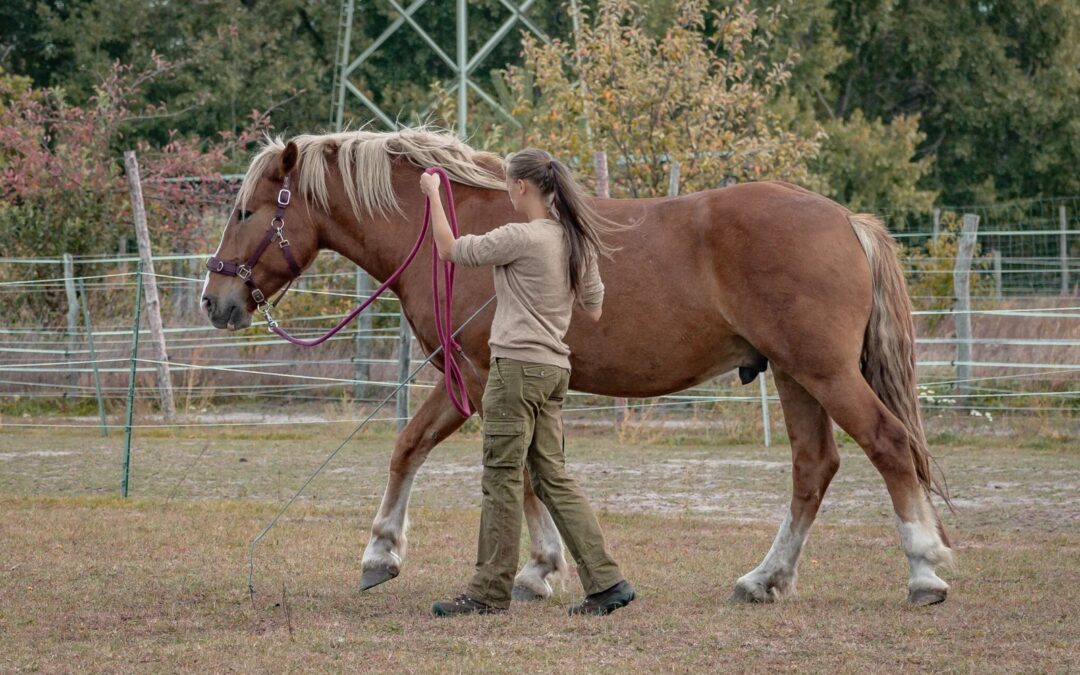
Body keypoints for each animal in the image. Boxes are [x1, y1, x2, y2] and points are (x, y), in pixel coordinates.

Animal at [200, 127, 954, 604]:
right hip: (797, 377)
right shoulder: (493, 381)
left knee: (888, 446)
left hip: (824, 374)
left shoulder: (478, 376)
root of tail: (847, 221)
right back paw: (765, 579)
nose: (215, 299)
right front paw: (537, 569)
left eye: (245, 211)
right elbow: (505, 467)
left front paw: (385, 553)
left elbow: (433, 452)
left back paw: (925, 571)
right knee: (812, 469)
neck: (458, 231)